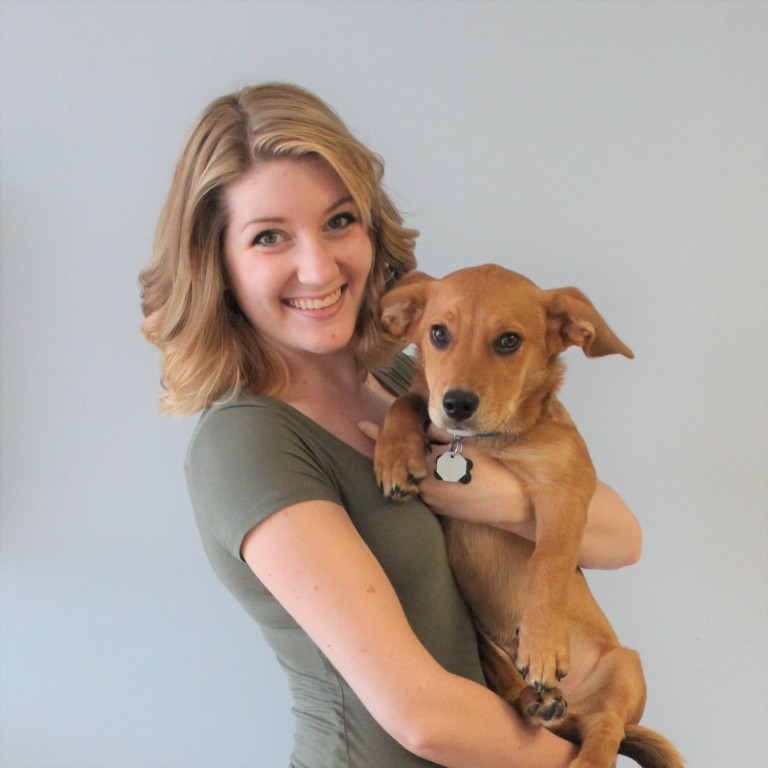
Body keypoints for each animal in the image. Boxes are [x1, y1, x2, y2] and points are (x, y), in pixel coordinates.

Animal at [374, 264, 683, 768]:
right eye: (438, 333)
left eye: (508, 341)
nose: (457, 404)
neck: (490, 441)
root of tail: (572, 711)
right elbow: (410, 399)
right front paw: (397, 454)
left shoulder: (567, 490)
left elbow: (548, 562)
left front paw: (542, 644)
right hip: (484, 639)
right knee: (518, 687)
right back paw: (536, 701)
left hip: (625, 665)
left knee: (608, 728)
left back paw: (582, 747)